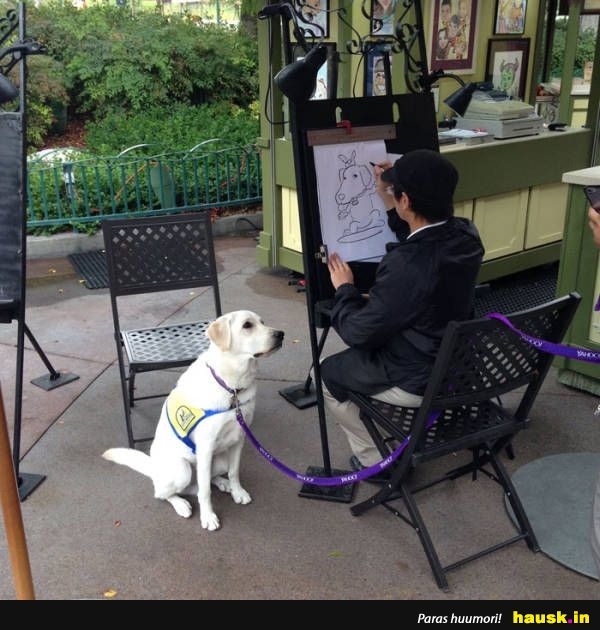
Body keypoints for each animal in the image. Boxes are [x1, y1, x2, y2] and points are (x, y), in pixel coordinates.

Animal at [102, 310, 284, 531]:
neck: (231, 386)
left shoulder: (239, 439)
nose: (281, 334)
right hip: (182, 469)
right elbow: (204, 492)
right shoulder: (205, 447)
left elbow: (234, 472)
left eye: (262, 322)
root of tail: (153, 467)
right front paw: (208, 517)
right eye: (247, 325)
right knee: (165, 493)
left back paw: (223, 483)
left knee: (204, 481)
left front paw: (237, 491)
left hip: (219, 459)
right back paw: (180, 504)